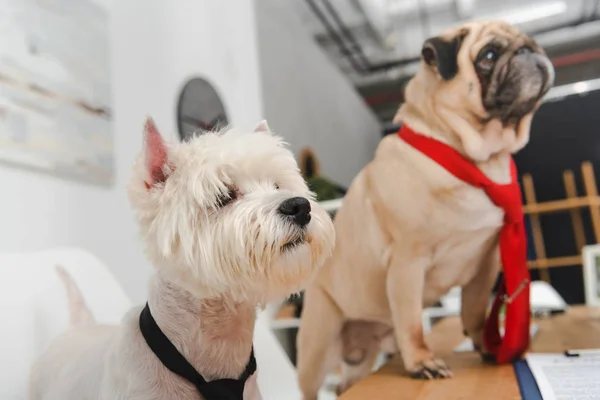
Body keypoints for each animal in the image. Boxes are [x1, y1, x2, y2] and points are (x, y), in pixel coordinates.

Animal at [296, 18, 552, 396]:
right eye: (488, 56)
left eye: (532, 43)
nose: (527, 51)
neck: (472, 159)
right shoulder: (408, 262)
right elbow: (412, 322)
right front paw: (421, 362)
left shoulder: (485, 265)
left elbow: (474, 313)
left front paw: (487, 347)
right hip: (318, 346)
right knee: (311, 386)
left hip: (364, 354)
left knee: (349, 382)